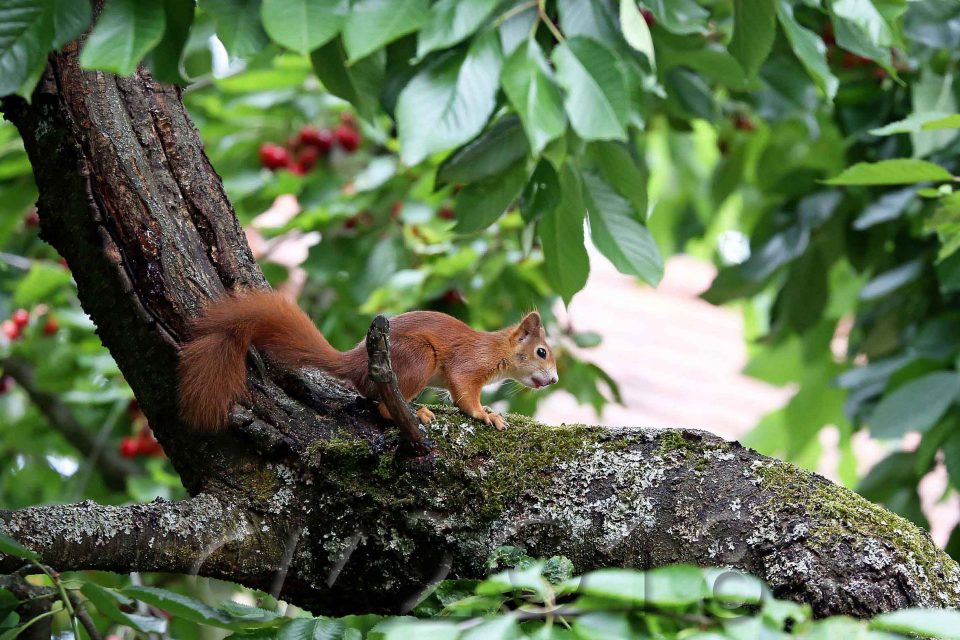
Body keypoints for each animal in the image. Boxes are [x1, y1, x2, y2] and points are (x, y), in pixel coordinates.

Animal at [177, 289, 559, 431]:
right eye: (541, 352)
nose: (554, 379)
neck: (496, 350)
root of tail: (355, 362)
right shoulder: (469, 364)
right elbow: (464, 393)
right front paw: (485, 415)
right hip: (417, 357)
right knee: (383, 406)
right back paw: (414, 412)